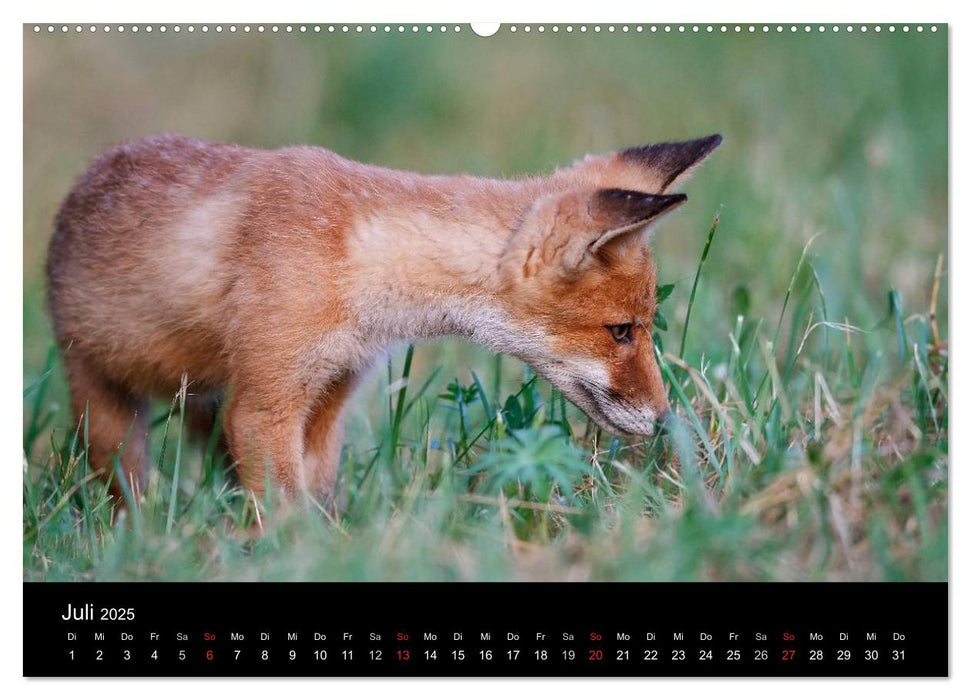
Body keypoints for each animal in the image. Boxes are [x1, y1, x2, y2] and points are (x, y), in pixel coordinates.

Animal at [47, 131, 720, 504]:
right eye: (621, 331)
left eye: (641, 327)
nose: (666, 421)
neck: (359, 262)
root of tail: (87, 178)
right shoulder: (265, 402)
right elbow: (287, 509)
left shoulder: (332, 392)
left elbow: (317, 495)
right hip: (106, 408)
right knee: (127, 491)